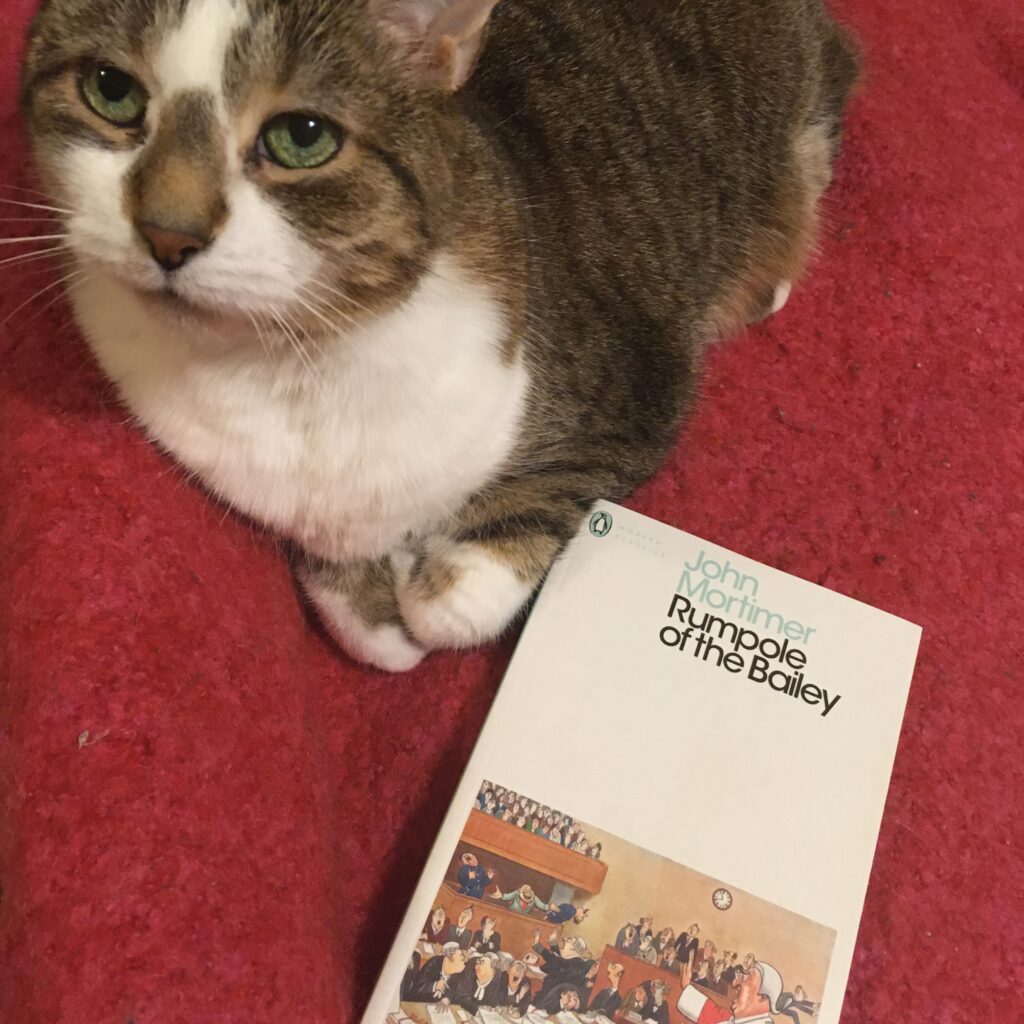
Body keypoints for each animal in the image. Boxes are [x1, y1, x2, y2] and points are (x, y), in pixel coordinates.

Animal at [19, 0, 860, 671]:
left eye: (302, 138)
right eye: (112, 90)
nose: (168, 234)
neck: (290, 355)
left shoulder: (633, 386)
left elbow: (486, 566)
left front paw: (433, 590)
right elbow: (358, 603)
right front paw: (376, 604)